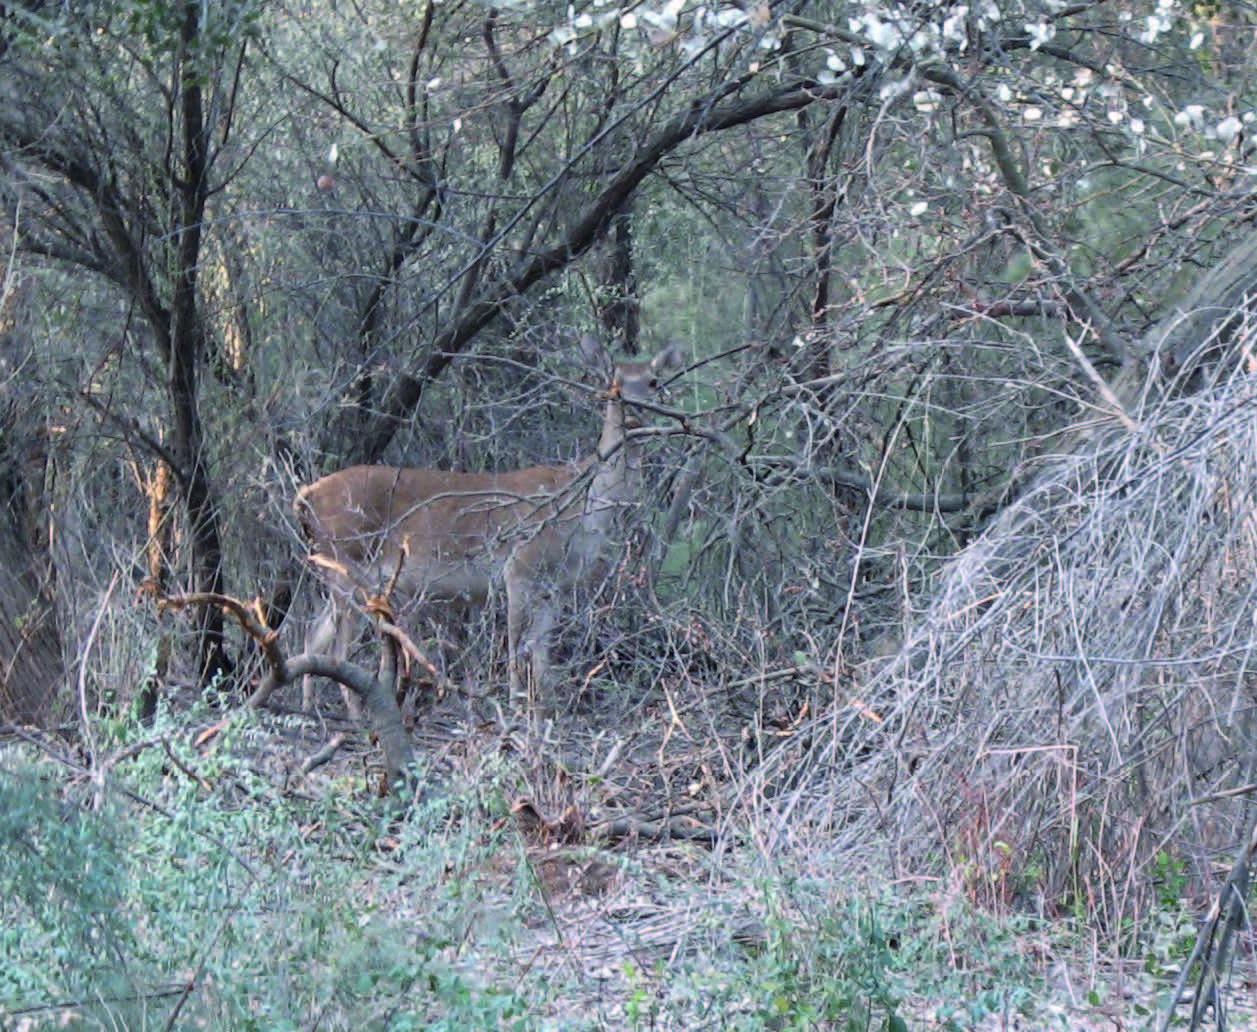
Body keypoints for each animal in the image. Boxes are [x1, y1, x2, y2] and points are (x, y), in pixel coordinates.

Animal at [292, 339, 683, 719]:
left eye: (653, 382)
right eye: (613, 384)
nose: (634, 417)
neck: (583, 513)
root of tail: (306, 496)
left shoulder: (554, 586)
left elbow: (542, 656)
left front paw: (548, 712)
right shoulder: (519, 566)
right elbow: (515, 647)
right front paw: (514, 706)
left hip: (336, 572)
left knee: (314, 634)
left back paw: (310, 710)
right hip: (348, 561)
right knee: (338, 650)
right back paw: (358, 716)